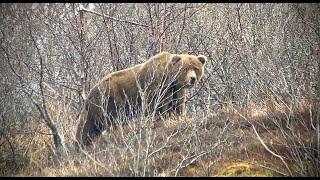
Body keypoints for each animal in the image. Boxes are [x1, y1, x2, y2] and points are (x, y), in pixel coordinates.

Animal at [75, 51, 206, 146]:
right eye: (185, 68)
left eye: (196, 68)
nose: (192, 79)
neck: (170, 79)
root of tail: (88, 96)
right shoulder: (155, 85)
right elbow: (157, 106)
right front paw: (160, 120)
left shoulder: (177, 91)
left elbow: (177, 106)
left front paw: (178, 117)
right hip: (110, 98)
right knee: (113, 119)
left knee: (88, 129)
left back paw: (81, 145)